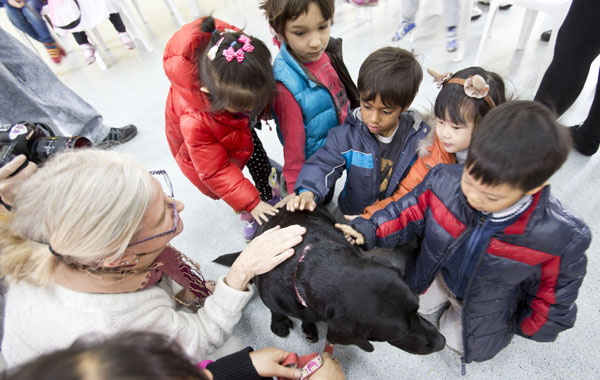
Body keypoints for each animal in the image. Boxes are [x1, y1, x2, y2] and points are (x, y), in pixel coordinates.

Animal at [216, 208, 446, 354]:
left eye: (417, 309)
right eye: (403, 332)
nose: (442, 342)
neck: (309, 264)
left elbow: (307, 317)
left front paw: (309, 326)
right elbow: (275, 310)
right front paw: (279, 323)